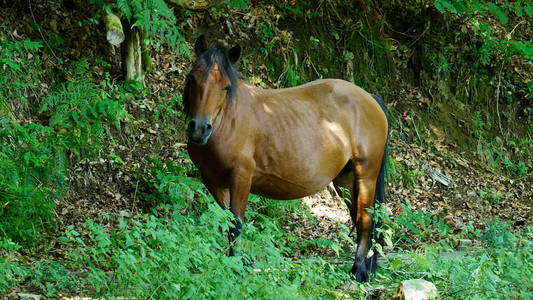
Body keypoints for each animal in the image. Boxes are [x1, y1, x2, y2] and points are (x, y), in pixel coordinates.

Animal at [183, 35, 386, 284]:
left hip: (366, 175)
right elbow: (227, 220)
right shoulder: (213, 182)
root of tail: (370, 99)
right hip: (346, 180)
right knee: (359, 220)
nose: (199, 129)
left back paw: (358, 272)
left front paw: (236, 267)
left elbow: (236, 223)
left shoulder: (241, 178)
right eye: (192, 78)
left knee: (366, 220)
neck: (228, 120)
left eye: (226, 86)